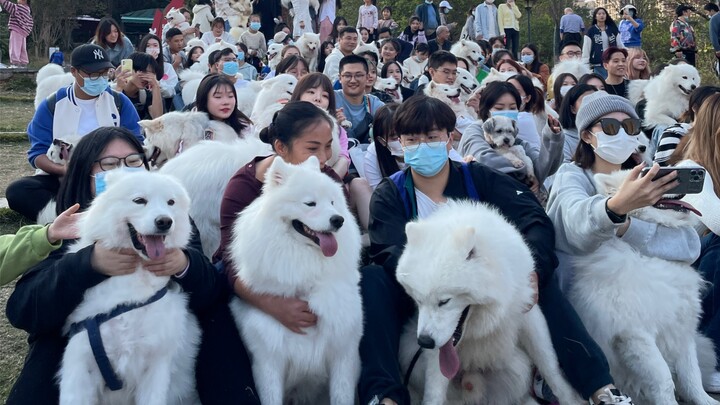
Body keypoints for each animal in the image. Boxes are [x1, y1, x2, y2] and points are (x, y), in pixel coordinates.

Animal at [229, 156, 366, 402]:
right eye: (310, 203)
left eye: (333, 202)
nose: (338, 220)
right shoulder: (268, 361)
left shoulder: (344, 352)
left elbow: (341, 395)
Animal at [396, 200, 576, 402]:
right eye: (417, 300)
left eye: (444, 301)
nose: (425, 342)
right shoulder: (439, 346)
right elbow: (435, 390)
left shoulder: (527, 313)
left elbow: (549, 365)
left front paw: (571, 399)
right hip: (409, 351)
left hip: (518, 369)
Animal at [568, 170, 716, 404]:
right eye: (650, 176)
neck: (647, 253)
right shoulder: (635, 335)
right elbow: (664, 379)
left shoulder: (681, 330)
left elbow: (692, 374)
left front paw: (705, 400)